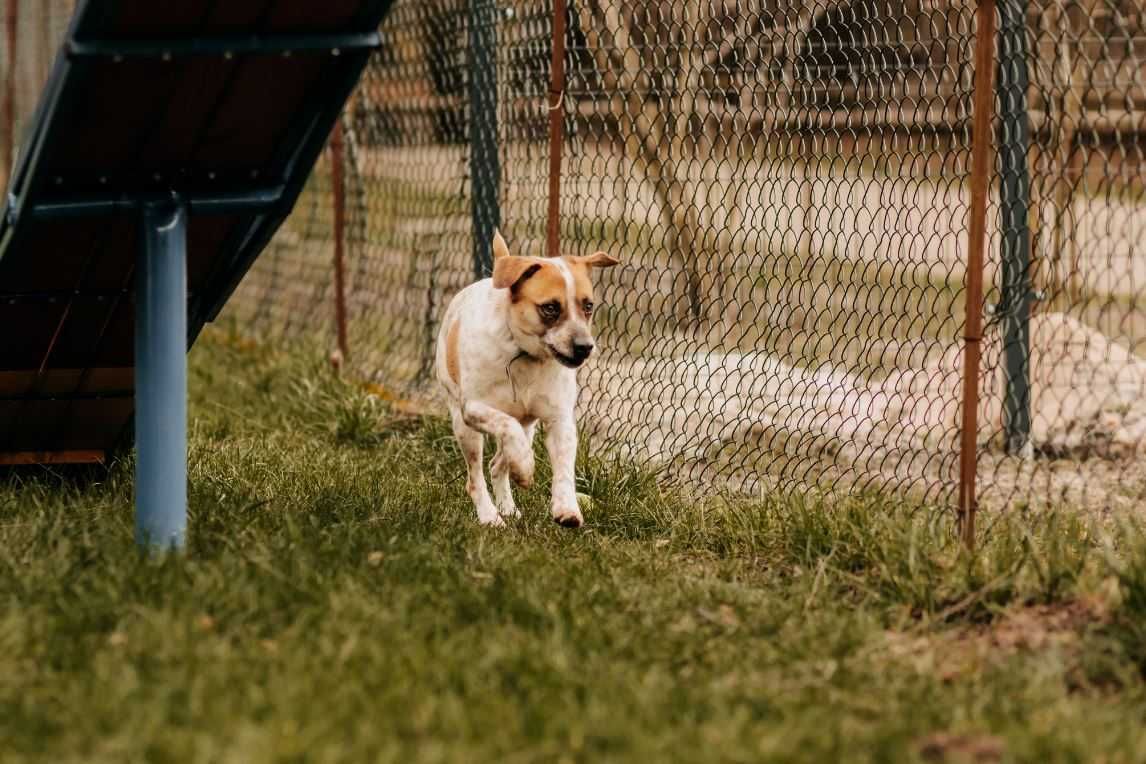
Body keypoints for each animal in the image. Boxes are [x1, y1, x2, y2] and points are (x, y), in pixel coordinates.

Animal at [435, 230, 618, 529]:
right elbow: (507, 427)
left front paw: (567, 508)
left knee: (498, 464)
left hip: (528, 425)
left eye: (588, 306)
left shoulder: (559, 419)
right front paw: (525, 466)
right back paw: (490, 516)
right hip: (464, 427)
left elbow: (564, 467)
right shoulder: (473, 408)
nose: (584, 347)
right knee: (476, 475)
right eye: (550, 308)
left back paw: (508, 507)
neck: (523, 356)